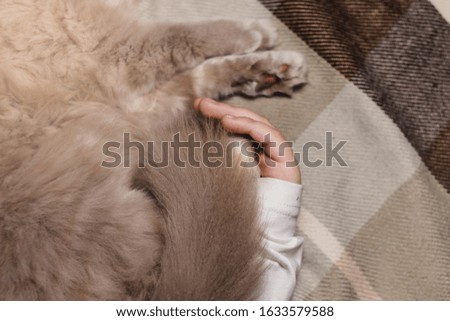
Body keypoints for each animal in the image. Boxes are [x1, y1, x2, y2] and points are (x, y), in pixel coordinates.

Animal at [0, 0, 306, 300]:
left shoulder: (130, 98)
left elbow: (200, 78)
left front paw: (272, 66)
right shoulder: (120, 50)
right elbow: (188, 36)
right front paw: (259, 33)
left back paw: (267, 81)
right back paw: (236, 148)